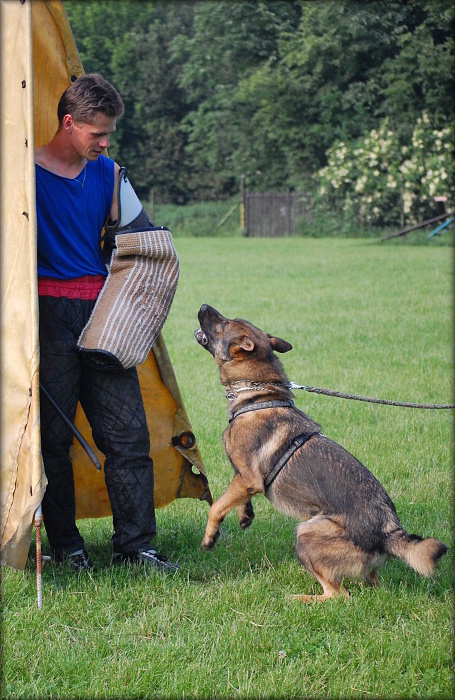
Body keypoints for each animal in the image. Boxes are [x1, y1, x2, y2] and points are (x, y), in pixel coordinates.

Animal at [194, 304, 448, 600]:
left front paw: (210, 537)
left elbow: (216, 506)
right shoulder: (245, 479)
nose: (203, 306)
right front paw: (244, 516)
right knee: (370, 584)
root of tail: (388, 534)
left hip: (306, 534)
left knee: (338, 595)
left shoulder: (247, 478)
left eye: (224, 323)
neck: (257, 394)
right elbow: (235, 499)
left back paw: (301, 598)